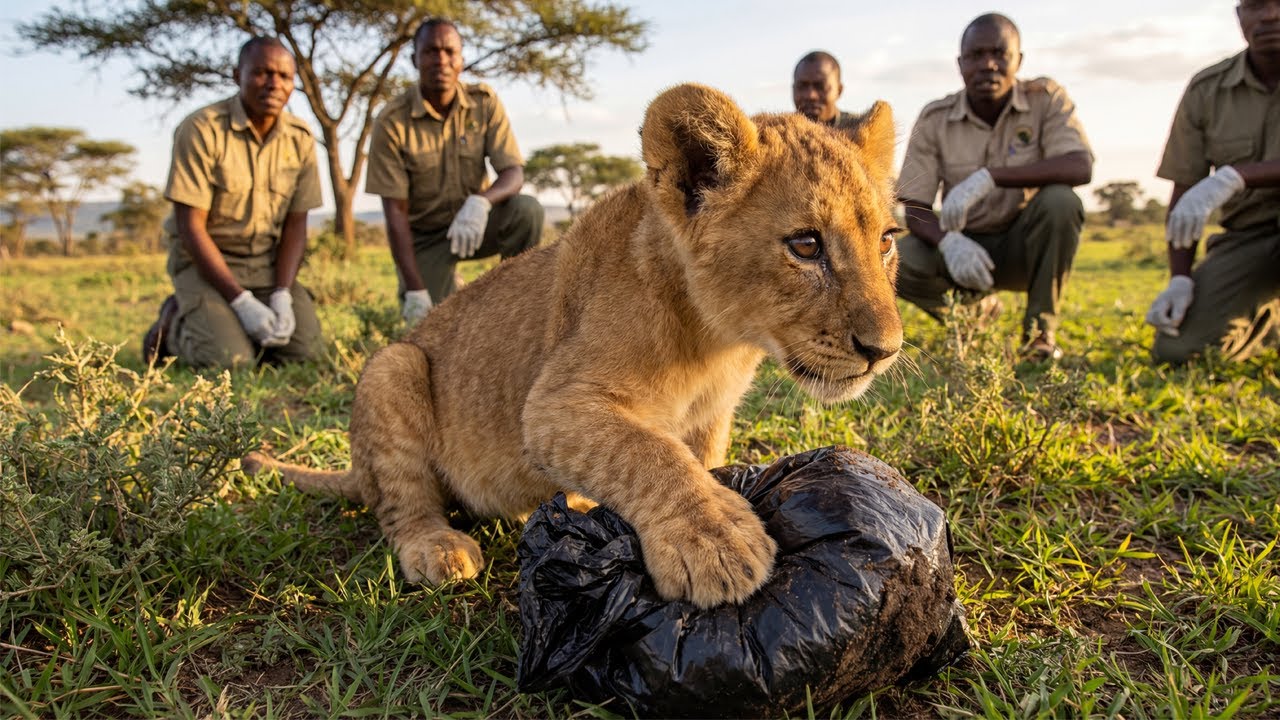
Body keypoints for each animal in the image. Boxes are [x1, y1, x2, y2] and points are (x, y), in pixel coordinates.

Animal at [243, 83, 903, 609]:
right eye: (806, 245)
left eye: (887, 240)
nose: (887, 349)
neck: (718, 343)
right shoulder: (553, 406)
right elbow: (649, 454)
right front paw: (717, 540)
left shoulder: (710, 417)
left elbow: (694, 459)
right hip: (394, 366)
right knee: (400, 505)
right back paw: (437, 546)